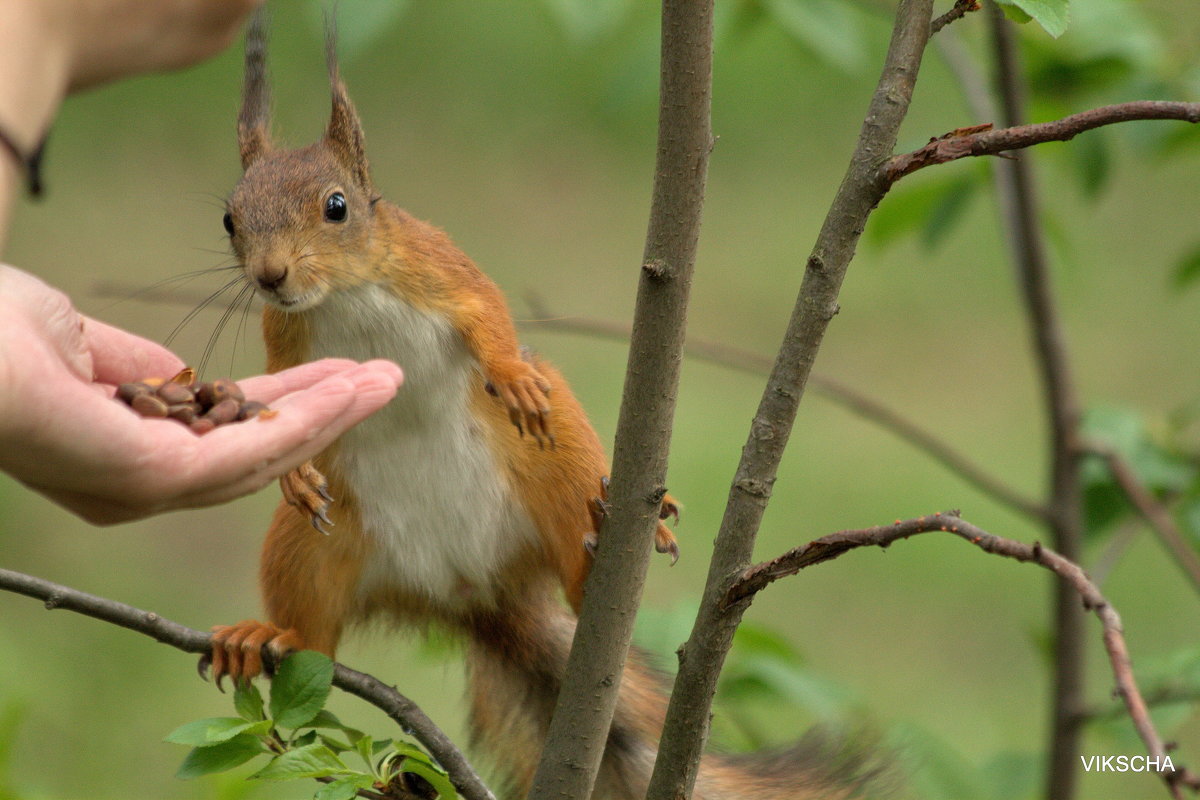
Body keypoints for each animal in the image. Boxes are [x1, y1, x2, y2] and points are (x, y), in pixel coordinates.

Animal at [204, 14, 864, 800]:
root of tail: (471, 592)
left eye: (337, 207)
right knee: (316, 641)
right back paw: (267, 636)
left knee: (582, 584)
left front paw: (512, 374)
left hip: (552, 473)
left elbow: (487, 313)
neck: (344, 294)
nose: (271, 277)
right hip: (311, 547)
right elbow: (285, 398)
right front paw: (288, 469)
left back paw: (606, 545)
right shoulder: (287, 342)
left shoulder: (438, 268)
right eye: (229, 219)